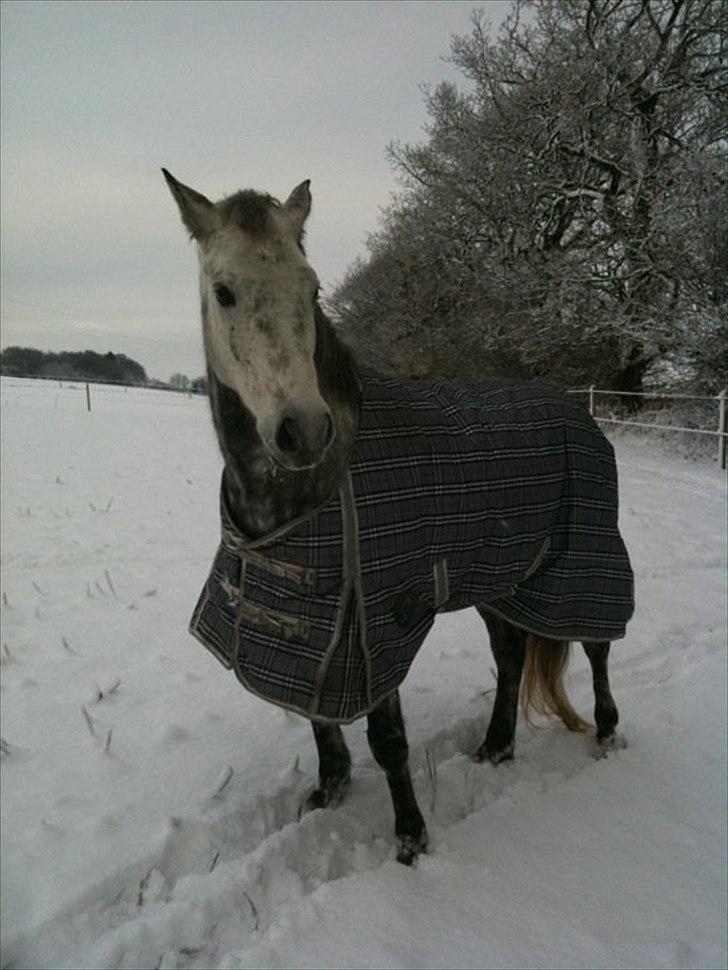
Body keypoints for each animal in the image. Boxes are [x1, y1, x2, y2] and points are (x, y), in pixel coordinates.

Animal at [163, 171, 633, 865]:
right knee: (512, 653)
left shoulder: (377, 624)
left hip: (582, 560)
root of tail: (583, 414)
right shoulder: (319, 629)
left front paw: (411, 839)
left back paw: (604, 733)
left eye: (312, 288)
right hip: (502, 580)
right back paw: (497, 746)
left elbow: (388, 742)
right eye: (224, 292)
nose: (304, 430)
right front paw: (329, 789)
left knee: (596, 644)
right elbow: (319, 718)